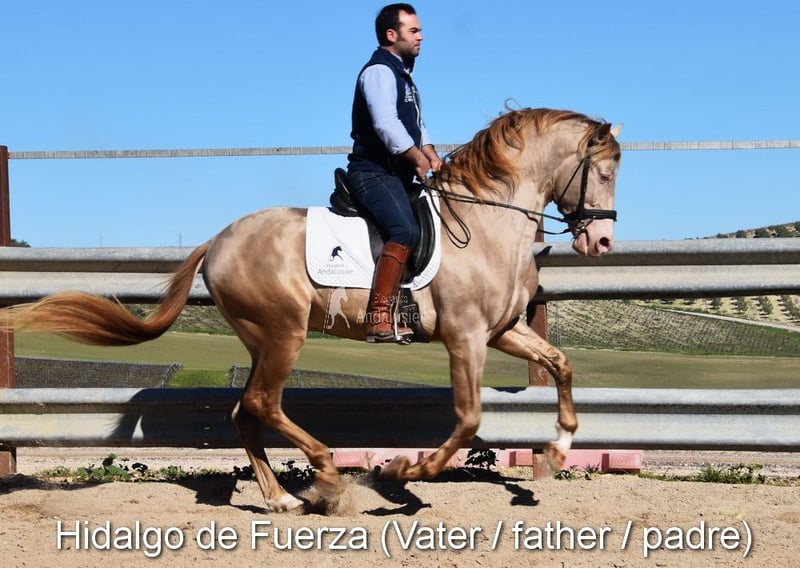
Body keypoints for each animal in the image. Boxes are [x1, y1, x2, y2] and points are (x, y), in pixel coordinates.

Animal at [2, 107, 621, 512]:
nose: (601, 243)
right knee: (262, 403)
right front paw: (406, 468)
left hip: (262, 339)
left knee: (244, 410)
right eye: (606, 171)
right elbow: (468, 418)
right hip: (283, 333)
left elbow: (560, 364)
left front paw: (559, 448)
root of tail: (217, 241)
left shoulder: (503, 331)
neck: (486, 223)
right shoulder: (465, 337)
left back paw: (280, 497)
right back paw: (324, 478)